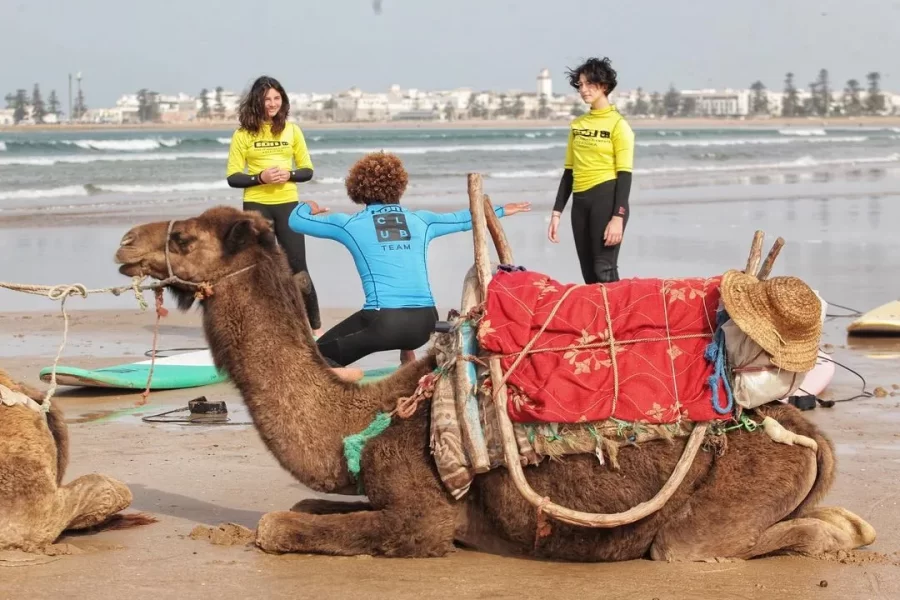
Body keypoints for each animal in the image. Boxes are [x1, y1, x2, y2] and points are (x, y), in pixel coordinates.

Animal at [113, 204, 876, 561]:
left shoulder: (424, 517)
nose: (125, 243)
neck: (365, 418)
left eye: (184, 240)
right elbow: (301, 507)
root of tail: (806, 431)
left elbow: (277, 525)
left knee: (705, 543)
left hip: (723, 502)